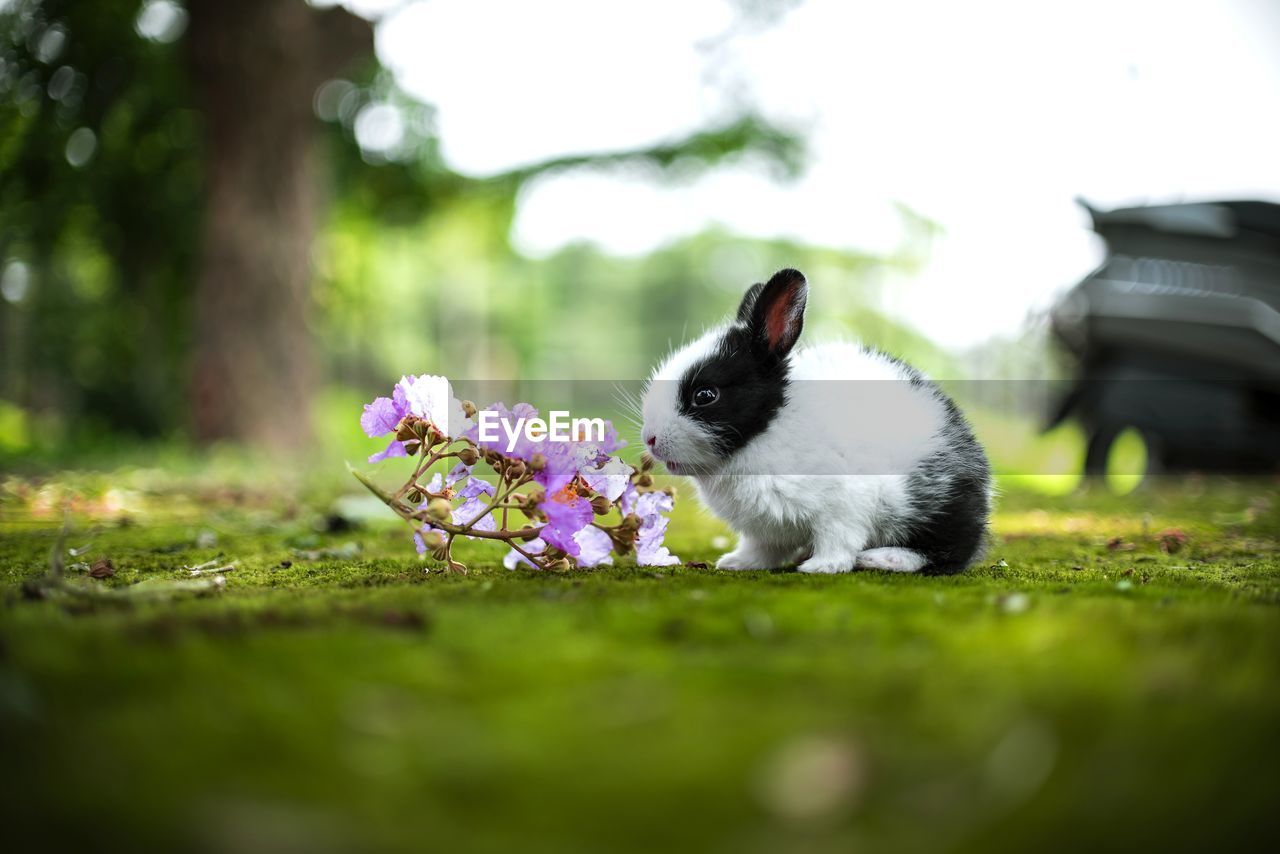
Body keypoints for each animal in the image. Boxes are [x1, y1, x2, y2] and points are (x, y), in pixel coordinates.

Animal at [640, 267, 988, 573]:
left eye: (705, 395)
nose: (650, 440)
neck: (771, 428)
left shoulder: (844, 505)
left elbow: (838, 539)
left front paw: (822, 567)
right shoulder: (764, 530)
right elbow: (762, 549)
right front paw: (737, 563)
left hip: (938, 506)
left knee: (947, 554)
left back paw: (884, 558)